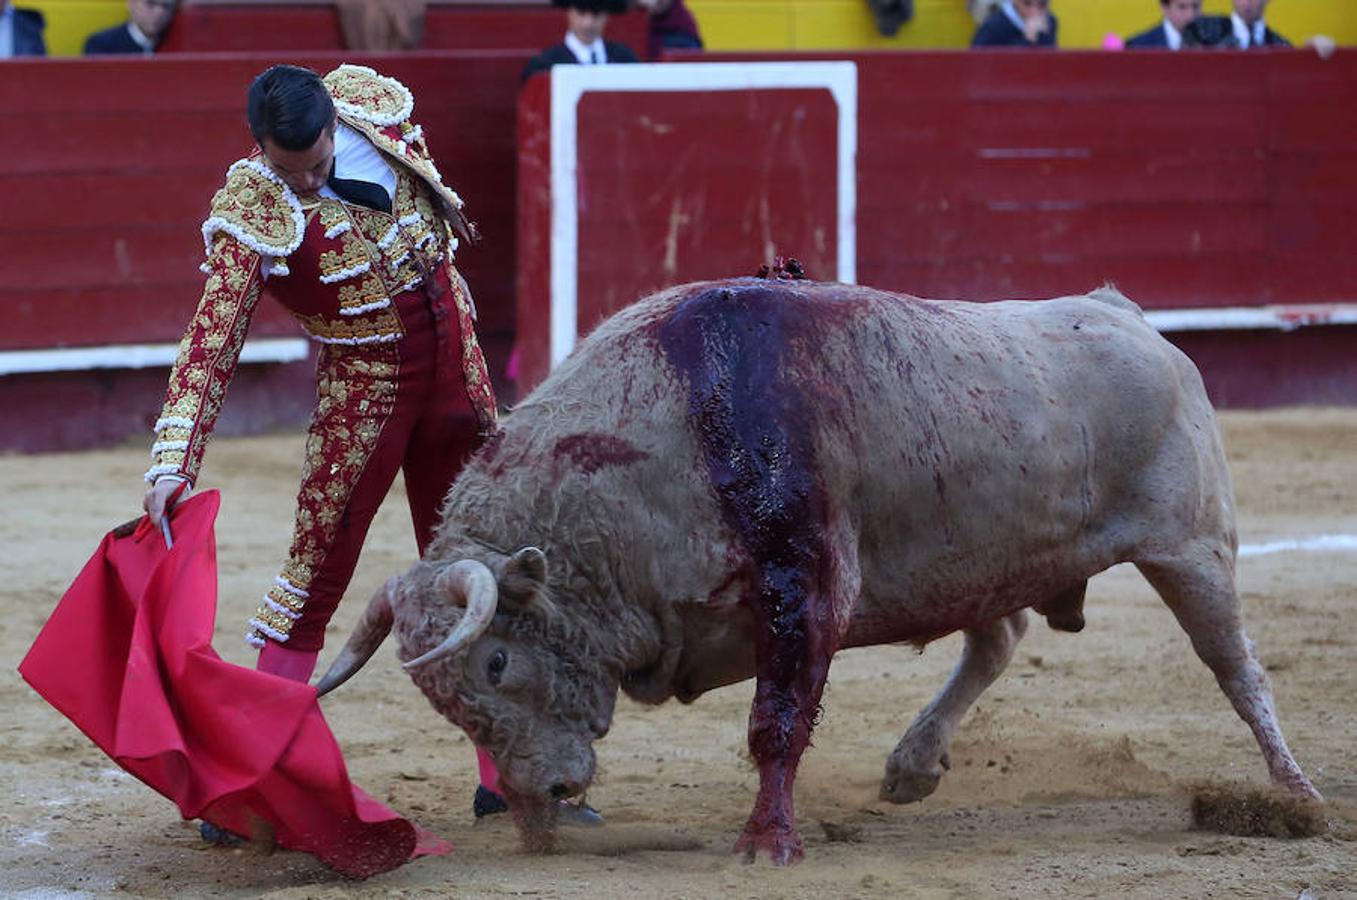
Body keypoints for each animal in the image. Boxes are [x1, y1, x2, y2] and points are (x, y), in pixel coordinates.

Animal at [314, 276, 1313, 868]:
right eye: (444, 699)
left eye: (493, 661)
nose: (538, 806)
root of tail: (1124, 312)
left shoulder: (809, 591)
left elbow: (777, 724)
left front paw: (766, 843)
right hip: (977, 558)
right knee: (997, 637)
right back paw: (912, 764)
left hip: (1190, 548)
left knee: (1235, 666)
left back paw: (1292, 796)